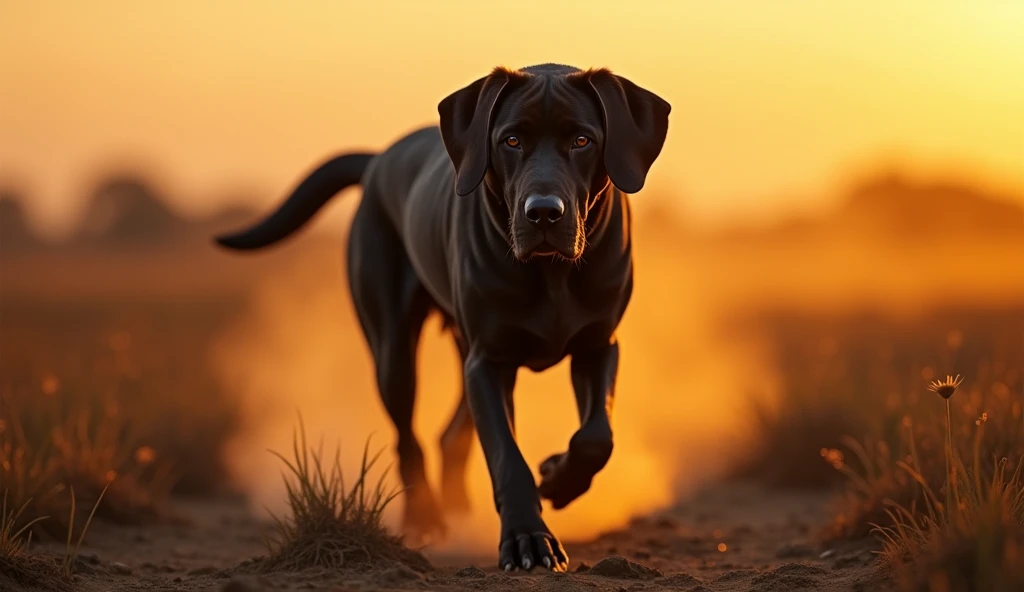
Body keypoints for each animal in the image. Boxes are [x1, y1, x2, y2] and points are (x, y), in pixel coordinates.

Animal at [214, 62, 671, 569]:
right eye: (511, 140)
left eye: (583, 140)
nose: (543, 214)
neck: (551, 274)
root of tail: (378, 160)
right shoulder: (489, 362)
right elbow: (507, 456)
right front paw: (528, 538)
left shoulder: (596, 345)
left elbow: (596, 437)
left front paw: (557, 478)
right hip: (395, 351)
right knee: (408, 437)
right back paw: (425, 518)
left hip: (464, 349)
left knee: (451, 435)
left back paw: (457, 508)